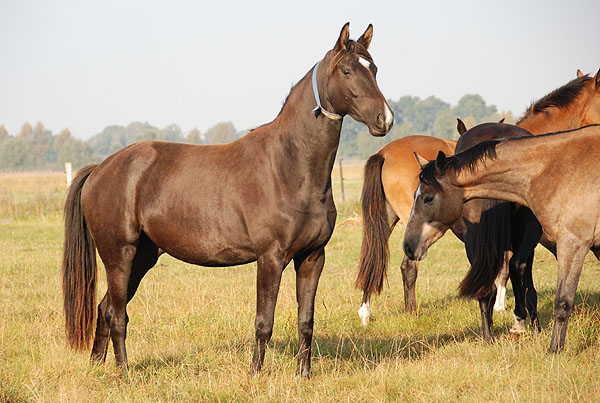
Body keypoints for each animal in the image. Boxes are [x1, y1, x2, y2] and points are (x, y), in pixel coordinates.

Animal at [63, 23, 396, 378]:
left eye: (374, 69)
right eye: (347, 70)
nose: (385, 119)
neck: (289, 166)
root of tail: (101, 168)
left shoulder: (312, 257)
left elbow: (306, 321)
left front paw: (303, 375)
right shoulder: (270, 258)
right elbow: (264, 322)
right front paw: (255, 375)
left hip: (143, 256)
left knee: (106, 309)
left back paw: (97, 367)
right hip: (119, 256)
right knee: (118, 315)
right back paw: (124, 372)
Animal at [354, 69, 600, 330]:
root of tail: (383, 152)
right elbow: (516, 269)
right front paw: (515, 312)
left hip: (389, 220)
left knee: (374, 260)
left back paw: (366, 313)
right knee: (409, 265)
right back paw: (412, 313)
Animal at [404, 124, 600, 356]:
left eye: (428, 198)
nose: (408, 246)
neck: (556, 168)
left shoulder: (573, 245)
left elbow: (562, 302)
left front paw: (554, 350)